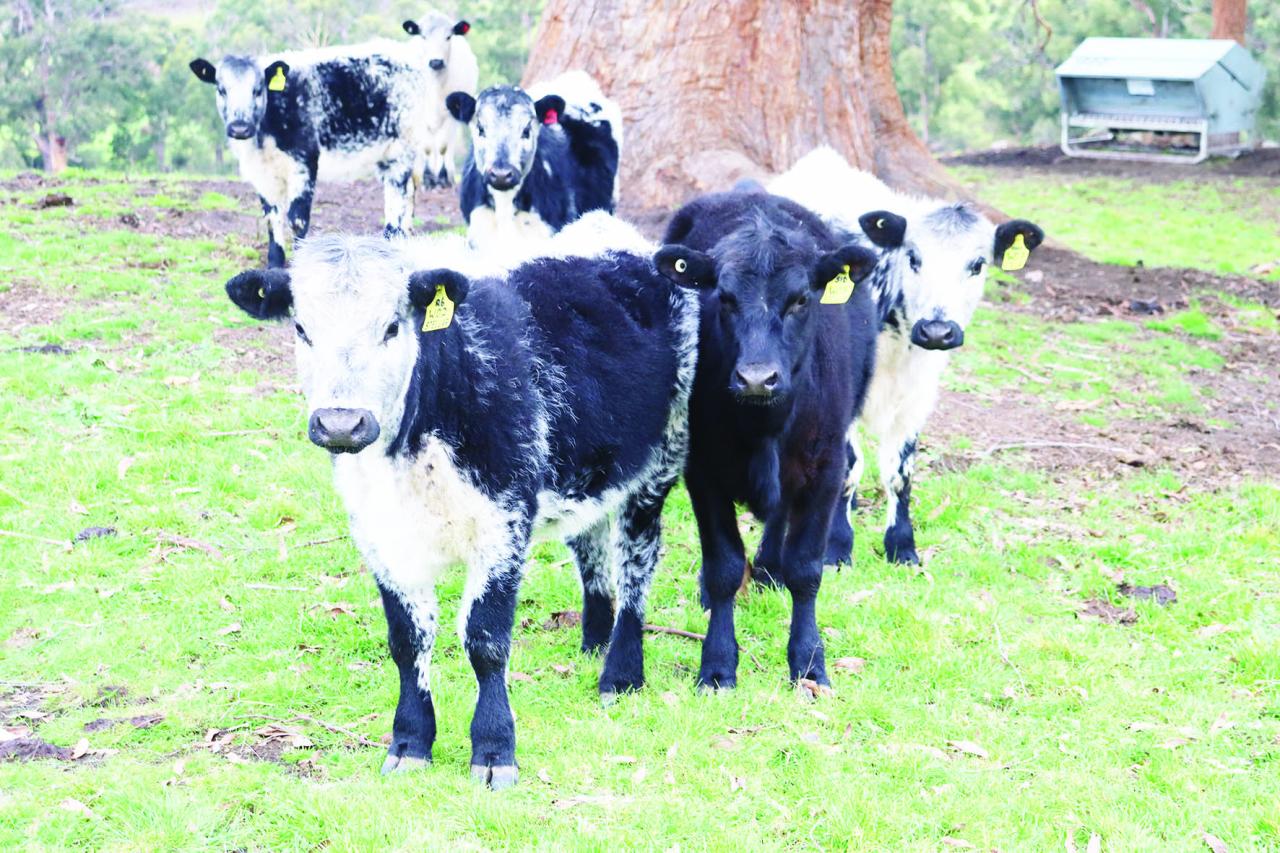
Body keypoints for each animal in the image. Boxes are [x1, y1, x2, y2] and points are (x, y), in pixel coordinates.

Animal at [190, 39, 442, 267]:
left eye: (257, 90)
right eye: (221, 90)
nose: (240, 127)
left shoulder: (304, 161)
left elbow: (297, 219)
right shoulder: (262, 173)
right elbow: (272, 217)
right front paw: (274, 264)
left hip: (402, 148)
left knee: (396, 198)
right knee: (408, 192)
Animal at [222, 213, 699, 788]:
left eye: (392, 327)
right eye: (301, 329)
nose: (340, 423)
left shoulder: (503, 525)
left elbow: (485, 639)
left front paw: (494, 750)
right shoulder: (381, 536)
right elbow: (407, 641)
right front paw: (410, 741)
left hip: (659, 463)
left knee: (637, 563)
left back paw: (621, 671)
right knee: (590, 546)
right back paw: (593, 642)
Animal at [401, 12, 478, 188]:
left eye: (448, 37)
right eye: (423, 36)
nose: (436, 61)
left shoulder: (451, 112)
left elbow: (443, 146)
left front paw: (443, 178)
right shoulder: (419, 115)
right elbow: (427, 147)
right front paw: (428, 178)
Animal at [653, 190, 880, 690]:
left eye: (800, 299)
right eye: (724, 297)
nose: (757, 378)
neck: (765, 428)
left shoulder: (825, 467)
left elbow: (806, 569)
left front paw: (809, 661)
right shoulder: (704, 472)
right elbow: (723, 566)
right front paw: (717, 664)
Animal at [770, 146, 1044, 564]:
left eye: (978, 264)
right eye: (913, 257)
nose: (936, 330)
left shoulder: (919, 394)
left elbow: (899, 472)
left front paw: (901, 545)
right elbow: (851, 466)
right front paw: (837, 545)